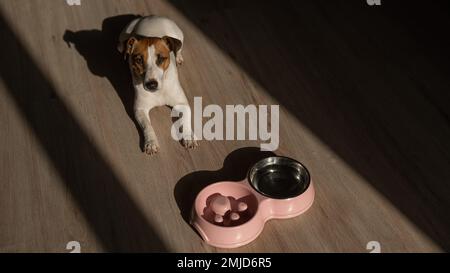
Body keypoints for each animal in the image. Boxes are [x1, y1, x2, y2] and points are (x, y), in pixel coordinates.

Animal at [118, 15, 198, 154]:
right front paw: (151, 142)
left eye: (161, 58)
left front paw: (189, 137)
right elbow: (147, 126)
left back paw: (178, 57)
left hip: (179, 35)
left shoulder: (182, 104)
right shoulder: (140, 109)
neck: (160, 91)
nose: (151, 85)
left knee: (179, 48)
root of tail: (150, 16)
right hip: (122, 37)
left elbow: (186, 121)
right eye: (139, 60)